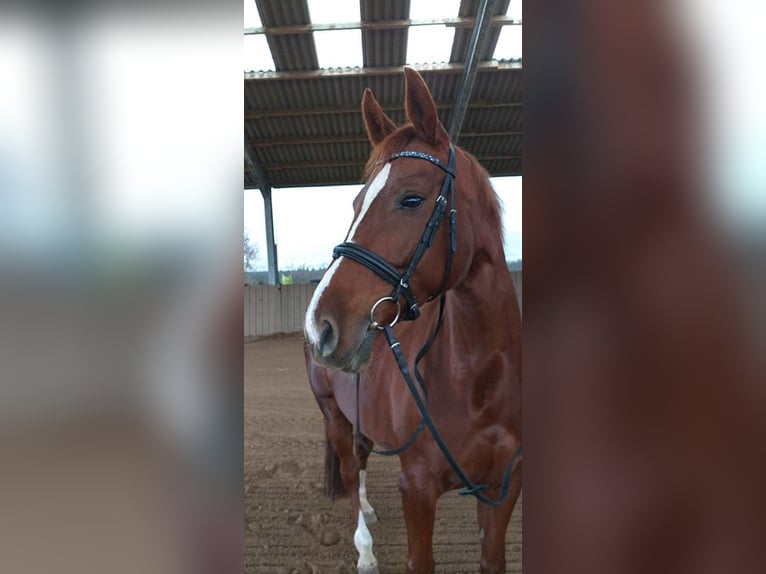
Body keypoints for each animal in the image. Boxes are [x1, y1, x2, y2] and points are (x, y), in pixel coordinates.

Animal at [304, 68, 524, 574]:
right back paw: (364, 549)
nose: (320, 326)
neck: (477, 383)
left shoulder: (503, 490)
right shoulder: (418, 490)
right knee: (350, 470)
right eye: (356, 204)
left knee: (361, 462)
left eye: (410, 199)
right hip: (334, 415)